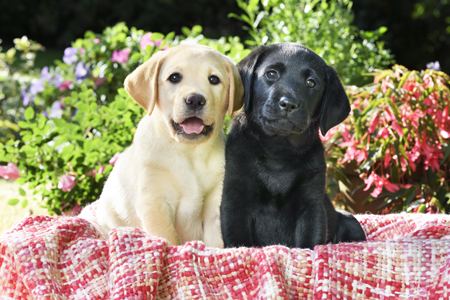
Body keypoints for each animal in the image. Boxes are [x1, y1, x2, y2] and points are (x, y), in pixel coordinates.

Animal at [79, 44, 244, 246]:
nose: (195, 100)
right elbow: (169, 239)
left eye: (214, 79)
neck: (189, 153)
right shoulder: (154, 203)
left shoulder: (216, 205)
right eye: (174, 77)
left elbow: (216, 244)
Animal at [221, 42, 366, 248]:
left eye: (311, 83)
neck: (278, 149)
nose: (289, 104)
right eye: (271, 74)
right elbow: (238, 241)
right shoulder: (235, 198)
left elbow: (308, 242)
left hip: (350, 221)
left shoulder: (311, 203)